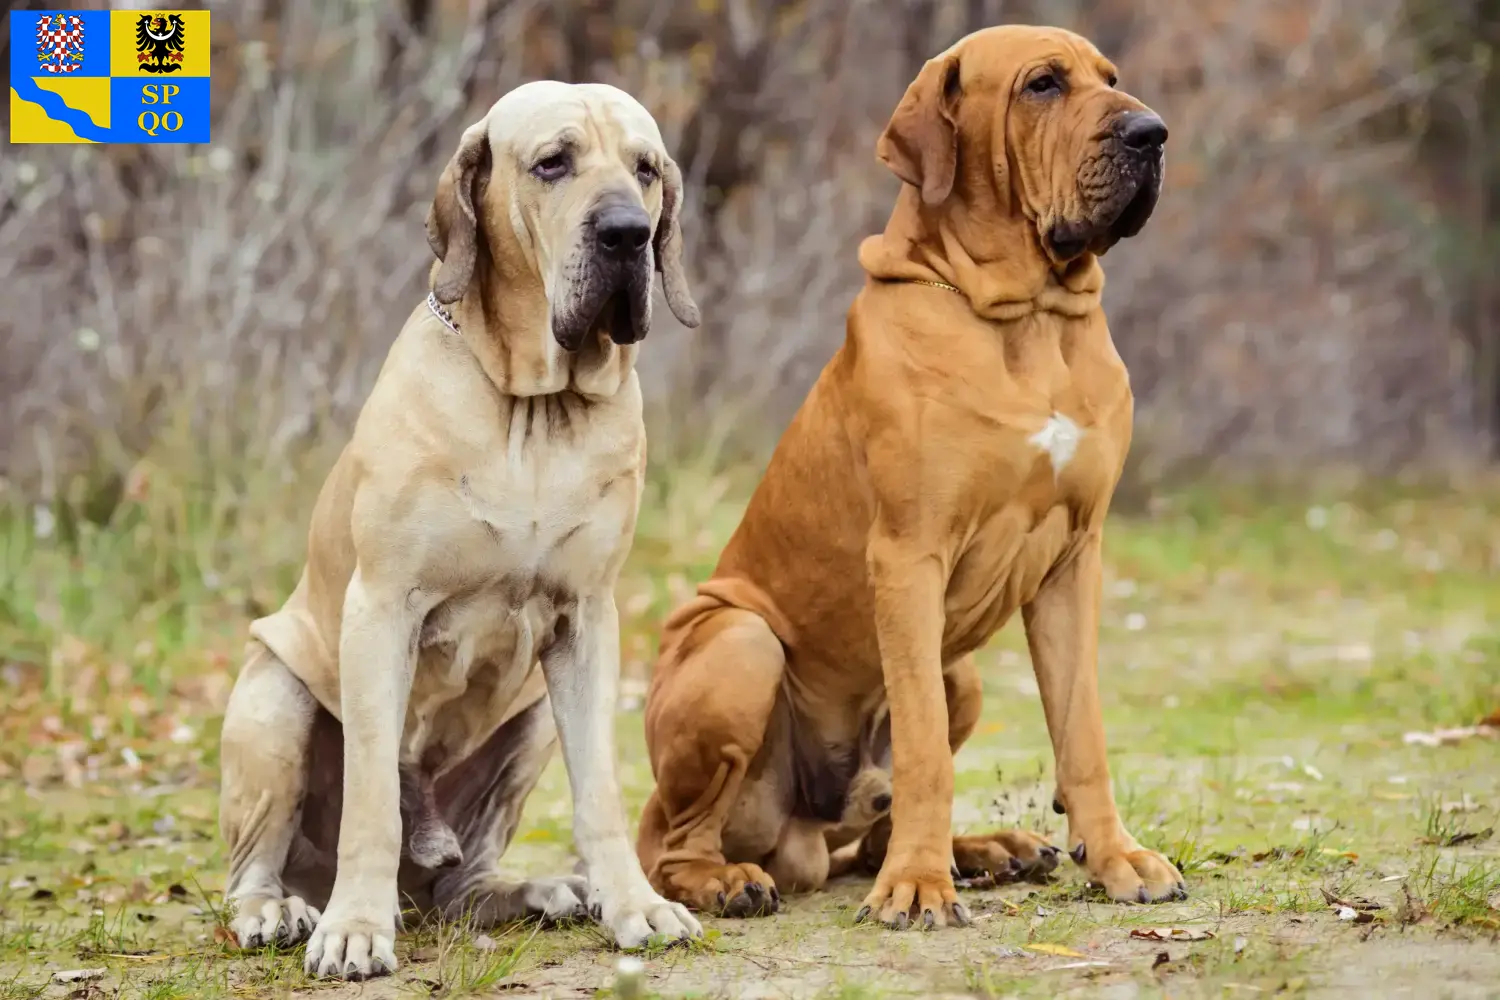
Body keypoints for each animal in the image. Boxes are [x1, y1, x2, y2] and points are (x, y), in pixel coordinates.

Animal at [217, 80, 702, 983]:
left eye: (647, 169)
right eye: (553, 163)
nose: (627, 233)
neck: (534, 410)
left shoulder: (588, 621)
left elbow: (601, 792)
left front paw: (635, 904)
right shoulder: (381, 611)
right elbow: (372, 798)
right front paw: (355, 928)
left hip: (532, 720)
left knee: (461, 881)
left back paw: (537, 891)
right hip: (274, 693)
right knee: (258, 862)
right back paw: (280, 909)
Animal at [633, 25, 1182, 929]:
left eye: (1111, 78)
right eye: (1042, 85)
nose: (1153, 133)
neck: (1027, 320)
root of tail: (804, 835)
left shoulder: (1075, 560)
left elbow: (1082, 731)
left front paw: (1115, 858)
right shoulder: (908, 556)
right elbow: (925, 752)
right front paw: (920, 886)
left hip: (962, 673)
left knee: (866, 837)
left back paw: (986, 851)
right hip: (740, 643)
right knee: (670, 845)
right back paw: (729, 880)